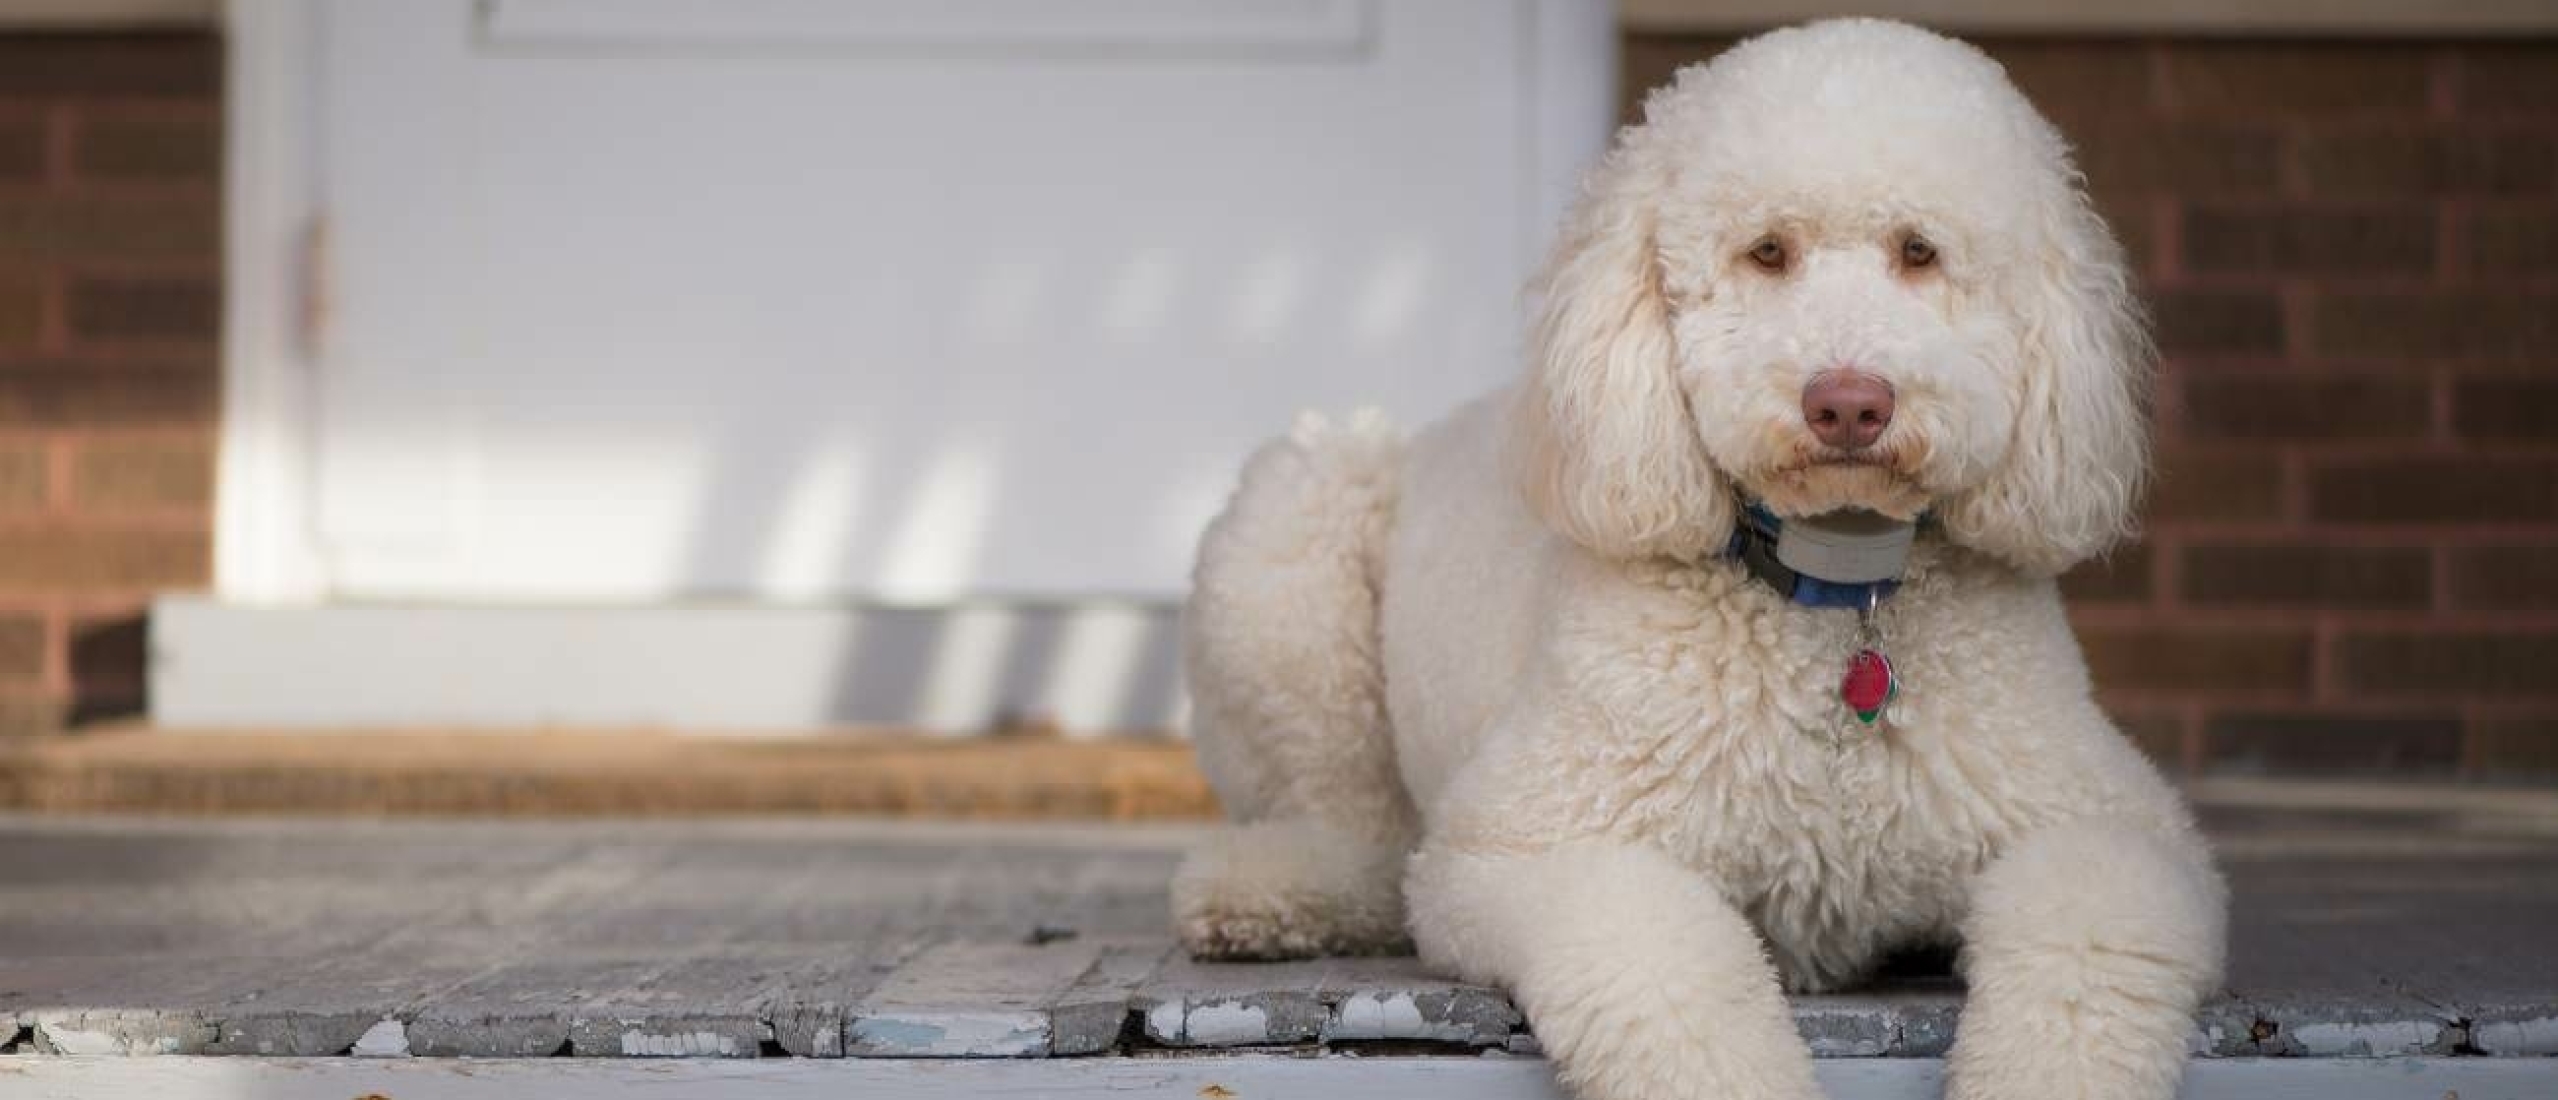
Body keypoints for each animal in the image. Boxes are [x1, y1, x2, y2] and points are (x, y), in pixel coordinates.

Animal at [1171, 15, 2230, 1100]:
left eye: (1918, 252)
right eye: (1766, 251)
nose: (1847, 403)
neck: (1829, 601)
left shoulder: (2121, 832)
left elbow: (2084, 944)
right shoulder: (1527, 845)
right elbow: (1672, 965)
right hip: (1295, 533)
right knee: (1351, 823)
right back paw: (1266, 890)